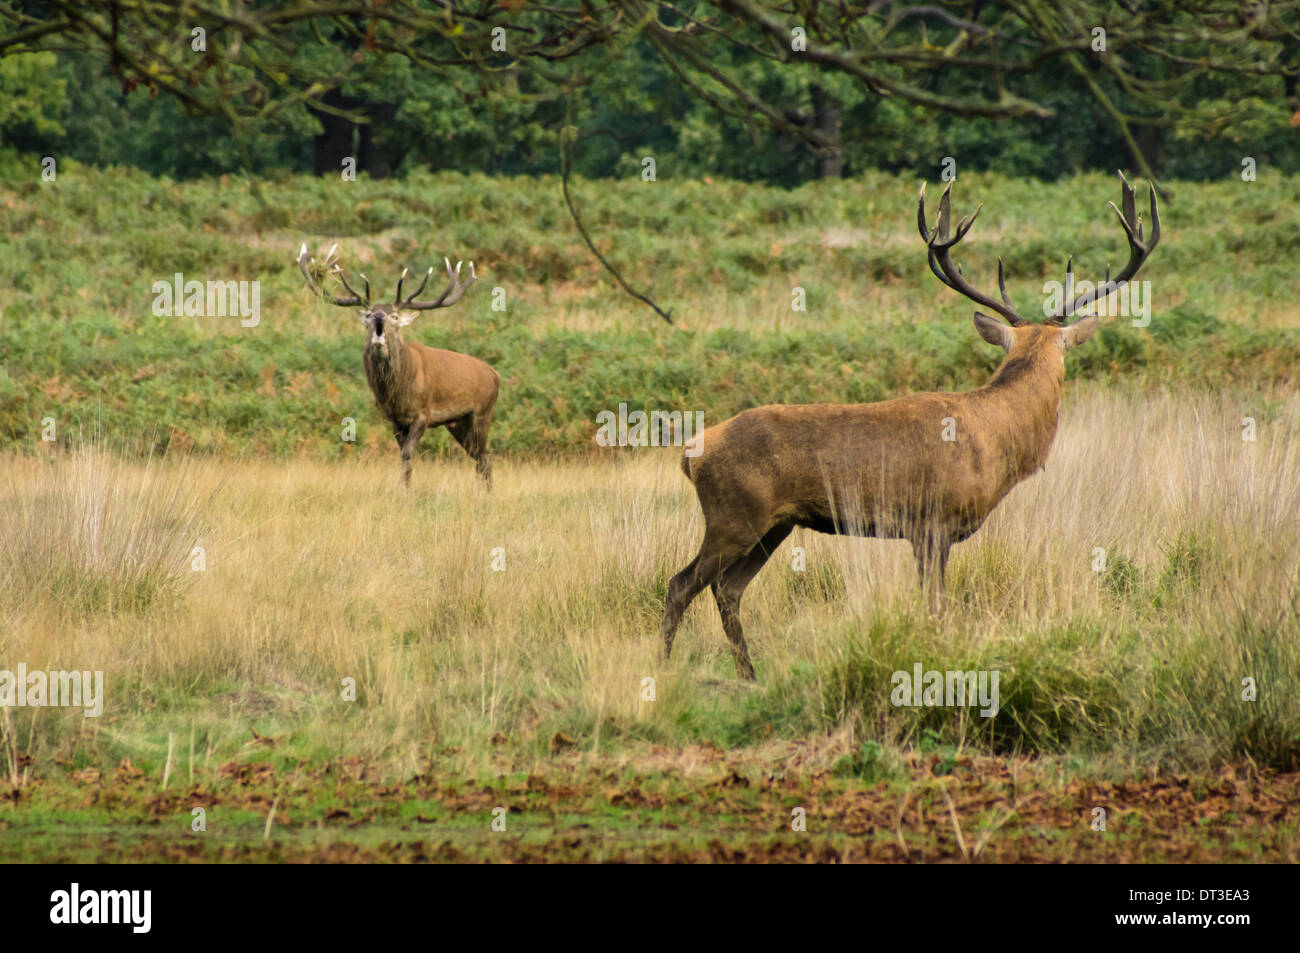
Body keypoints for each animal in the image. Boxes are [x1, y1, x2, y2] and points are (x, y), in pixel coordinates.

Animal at [297, 243, 499, 487]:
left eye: (394, 316)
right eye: (368, 314)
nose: (379, 316)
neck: (398, 392)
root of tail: (495, 374)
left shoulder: (423, 413)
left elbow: (408, 453)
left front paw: (405, 488)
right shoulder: (394, 419)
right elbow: (403, 454)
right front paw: (405, 487)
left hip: (482, 412)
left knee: (485, 455)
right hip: (457, 422)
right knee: (479, 456)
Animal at [661, 172, 1160, 679]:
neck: (996, 439)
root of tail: (690, 452)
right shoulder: (931, 521)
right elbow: (936, 605)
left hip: (774, 525)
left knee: (728, 589)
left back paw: (750, 676)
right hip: (732, 515)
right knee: (681, 584)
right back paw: (666, 668)